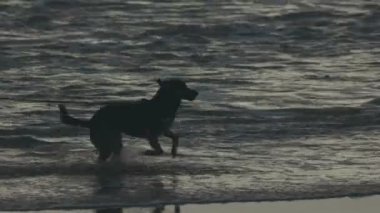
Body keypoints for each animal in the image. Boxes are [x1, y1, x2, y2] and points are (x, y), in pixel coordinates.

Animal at [58, 79, 199, 162]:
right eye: (183, 87)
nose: (196, 92)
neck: (163, 104)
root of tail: (92, 120)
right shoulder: (152, 134)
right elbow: (159, 150)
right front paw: (148, 152)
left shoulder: (164, 130)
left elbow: (175, 137)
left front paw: (174, 151)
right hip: (105, 142)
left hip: (114, 141)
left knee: (114, 151)